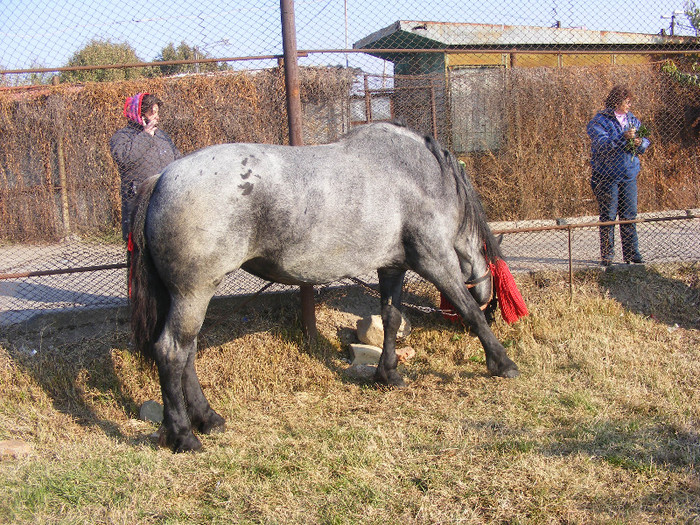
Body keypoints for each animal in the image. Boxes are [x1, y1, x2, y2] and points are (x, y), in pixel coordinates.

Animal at [129, 119, 516, 450]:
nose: (493, 306)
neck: (420, 176)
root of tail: (161, 177)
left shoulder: (392, 268)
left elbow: (390, 318)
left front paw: (387, 374)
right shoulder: (435, 260)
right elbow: (469, 311)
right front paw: (502, 362)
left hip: (186, 296)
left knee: (187, 354)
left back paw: (208, 419)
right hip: (193, 293)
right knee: (172, 351)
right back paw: (184, 435)